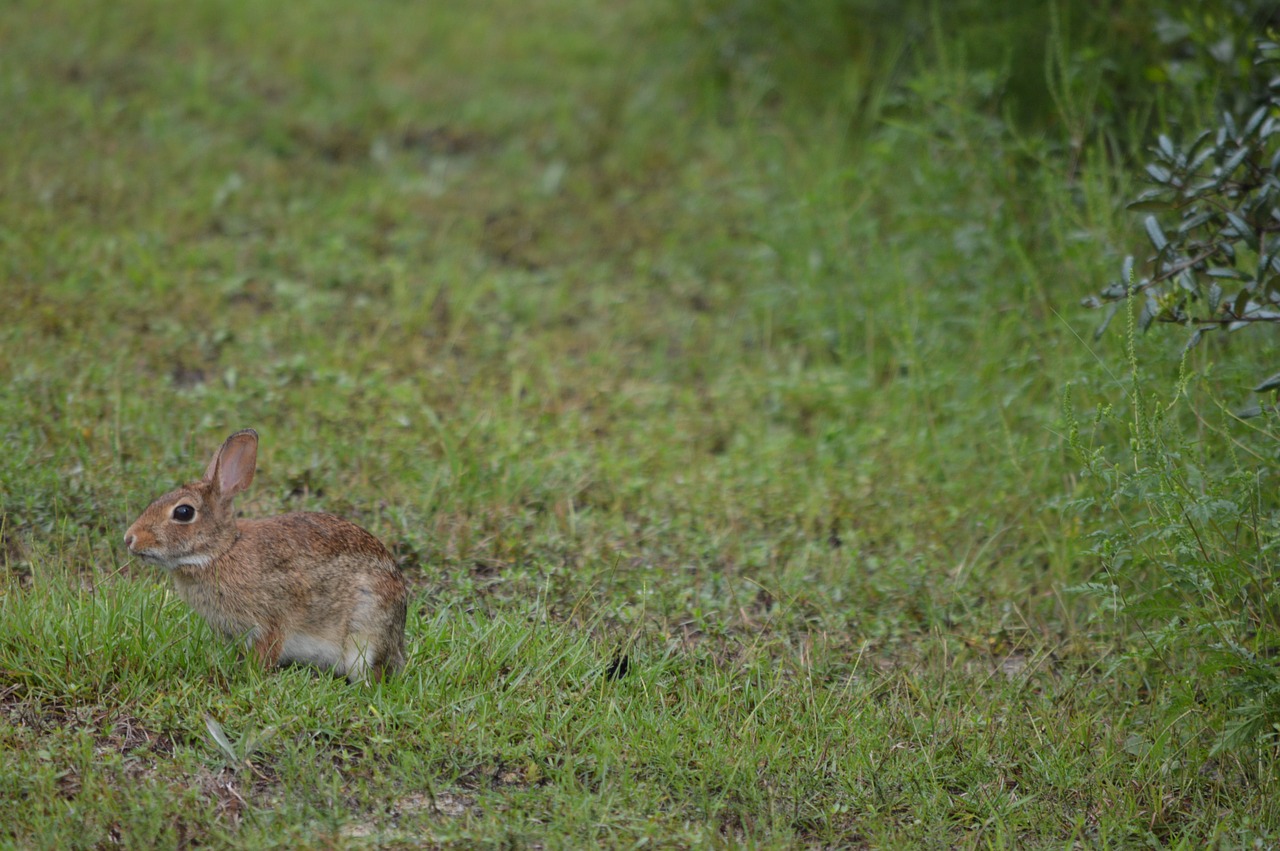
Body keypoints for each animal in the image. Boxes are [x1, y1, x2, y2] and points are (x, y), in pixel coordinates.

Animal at [122, 427, 407, 680]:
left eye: (183, 512)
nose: (129, 539)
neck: (221, 551)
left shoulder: (270, 621)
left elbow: (266, 652)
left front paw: (251, 675)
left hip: (364, 635)